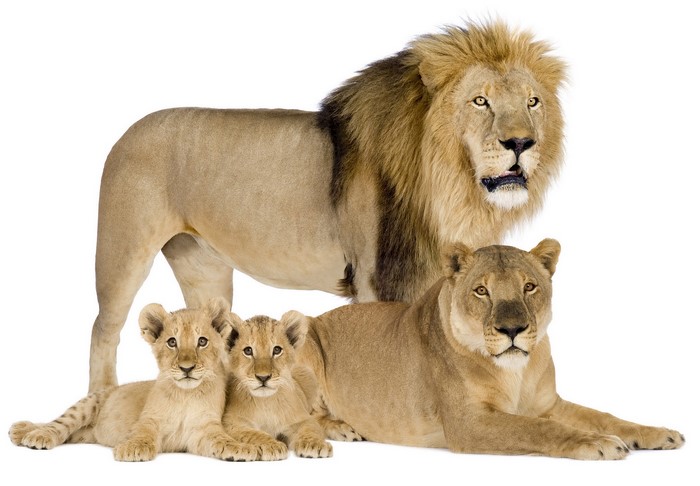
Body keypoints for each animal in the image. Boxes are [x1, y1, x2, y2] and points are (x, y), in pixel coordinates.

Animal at [9, 298, 258, 462]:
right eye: (172, 342)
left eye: (202, 341)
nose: (186, 368)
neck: (185, 395)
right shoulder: (148, 419)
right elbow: (143, 433)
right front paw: (133, 449)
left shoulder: (203, 430)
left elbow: (221, 440)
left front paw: (241, 449)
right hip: (87, 404)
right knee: (60, 423)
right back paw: (33, 432)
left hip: (85, 433)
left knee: (70, 434)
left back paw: (24, 431)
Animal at [87, 21, 566, 392]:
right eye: (480, 101)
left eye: (532, 102)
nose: (521, 143)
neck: (450, 186)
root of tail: (126, 132)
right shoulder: (376, 277)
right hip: (122, 253)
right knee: (103, 330)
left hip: (204, 268)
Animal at [222, 312, 333, 460]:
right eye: (248, 351)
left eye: (276, 350)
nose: (263, 377)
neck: (266, 402)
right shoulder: (231, 422)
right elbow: (253, 433)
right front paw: (272, 445)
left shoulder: (304, 419)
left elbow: (310, 430)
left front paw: (315, 444)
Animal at [298, 240, 685, 459]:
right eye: (482, 291)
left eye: (529, 287)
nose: (512, 330)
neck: (517, 371)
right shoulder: (468, 423)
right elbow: (536, 429)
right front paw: (599, 443)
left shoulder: (549, 405)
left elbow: (605, 416)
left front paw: (656, 433)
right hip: (304, 334)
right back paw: (342, 428)